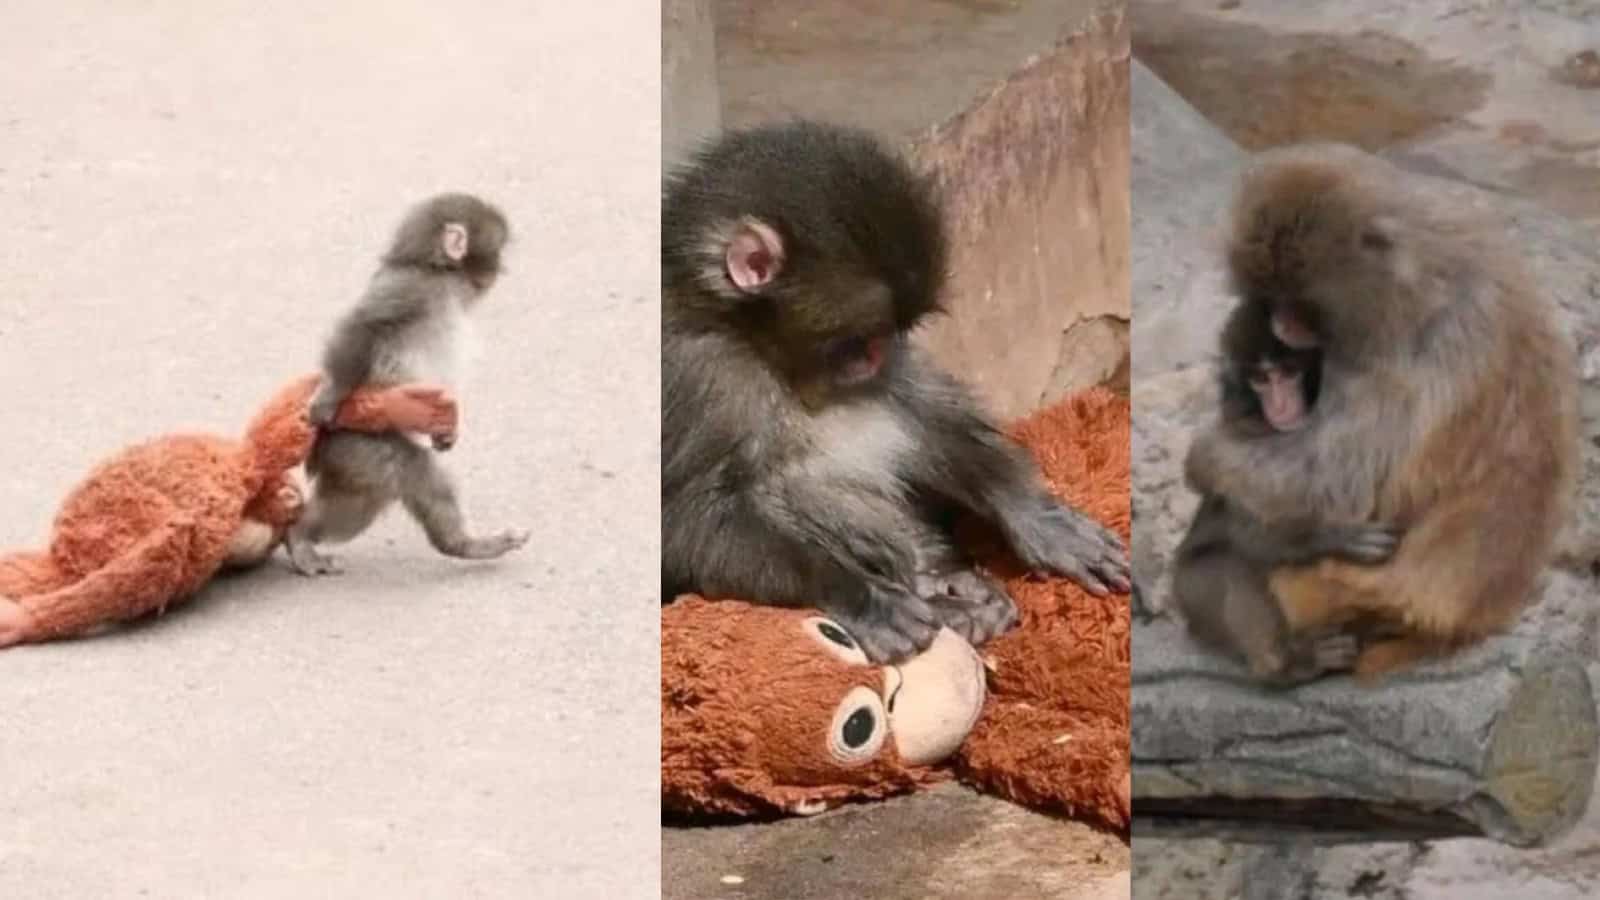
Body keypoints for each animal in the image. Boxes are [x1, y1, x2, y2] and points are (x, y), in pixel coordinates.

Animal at [284, 193, 530, 575]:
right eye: (498, 250)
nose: (500, 270)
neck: (437, 273)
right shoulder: (409, 289)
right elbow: (364, 325)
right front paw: (330, 395)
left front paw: (446, 432)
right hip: (357, 444)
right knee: (413, 472)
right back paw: (299, 537)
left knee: (361, 503)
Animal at [661, 120, 1130, 664]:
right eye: (856, 341)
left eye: (888, 335)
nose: (877, 357)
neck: (750, 341)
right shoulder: (695, 374)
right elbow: (686, 519)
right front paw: (861, 596)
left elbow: (917, 406)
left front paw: (1034, 512)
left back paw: (946, 578)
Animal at [1184, 143, 1579, 679]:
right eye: (1274, 298)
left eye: (1298, 301)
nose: (1282, 325)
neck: (1421, 274)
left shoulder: (1404, 350)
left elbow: (1338, 477)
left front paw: (1205, 456)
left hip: (1321, 590)